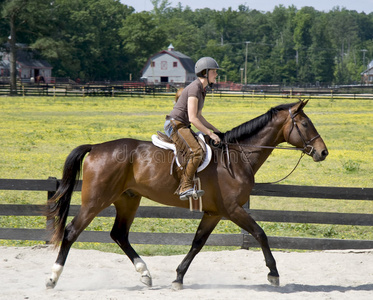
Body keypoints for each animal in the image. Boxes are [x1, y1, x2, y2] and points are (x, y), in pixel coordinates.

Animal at [45, 101, 326, 290]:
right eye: (304, 124)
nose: (323, 152)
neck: (237, 156)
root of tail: (95, 147)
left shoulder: (214, 213)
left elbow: (197, 243)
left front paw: (178, 277)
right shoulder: (234, 210)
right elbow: (260, 234)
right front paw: (274, 274)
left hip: (128, 199)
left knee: (119, 235)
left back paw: (145, 274)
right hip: (96, 200)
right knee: (71, 232)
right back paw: (53, 277)